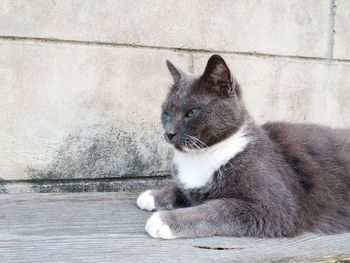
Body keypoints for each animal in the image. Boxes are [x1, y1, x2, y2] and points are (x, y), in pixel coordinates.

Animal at [136, 54, 350, 240]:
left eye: (192, 112)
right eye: (166, 111)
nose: (169, 133)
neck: (202, 155)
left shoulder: (275, 208)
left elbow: (215, 209)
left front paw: (164, 220)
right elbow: (182, 189)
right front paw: (153, 195)